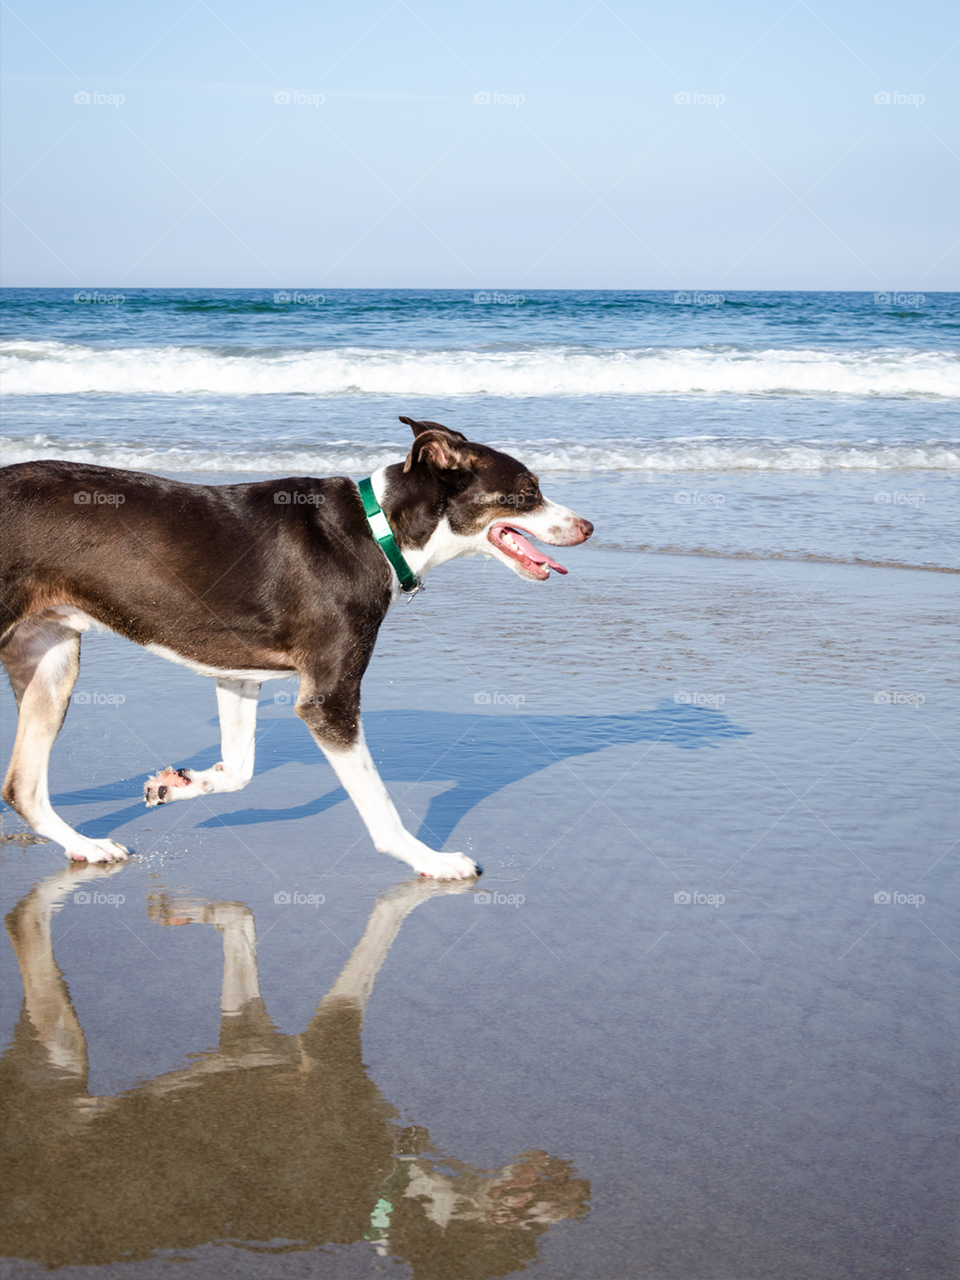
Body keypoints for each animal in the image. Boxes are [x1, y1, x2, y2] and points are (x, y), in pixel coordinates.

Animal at [0, 419, 593, 880]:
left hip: (53, 661)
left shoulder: (238, 674)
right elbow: (378, 805)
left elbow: (240, 770)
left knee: (22, 788)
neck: (378, 531)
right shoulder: (329, 700)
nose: (588, 526)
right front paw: (430, 860)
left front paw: (179, 785)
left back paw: (86, 846)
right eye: (527, 490)